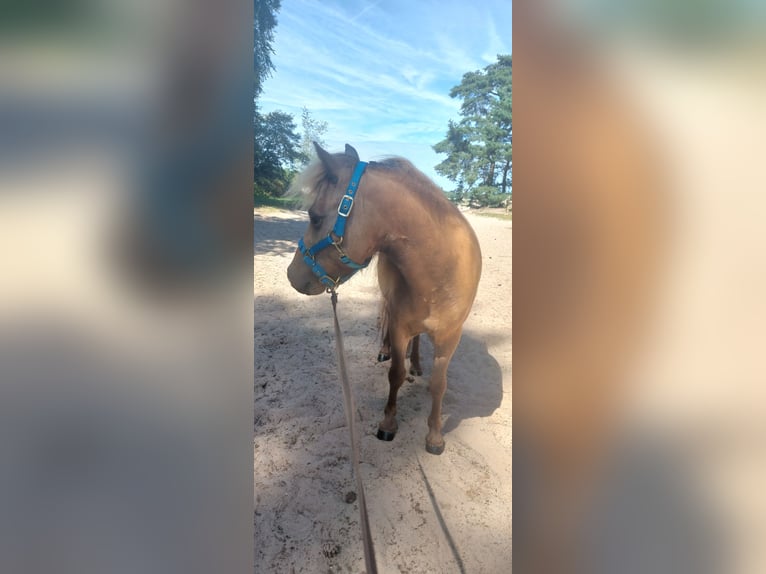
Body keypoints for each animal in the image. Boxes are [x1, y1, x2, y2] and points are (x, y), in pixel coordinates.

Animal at [284, 143, 484, 454]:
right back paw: (385, 350)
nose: (292, 275)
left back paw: (417, 364)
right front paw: (388, 424)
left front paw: (435, 436)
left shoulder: (450, 338)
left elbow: (439, 384)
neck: (441, 271)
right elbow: (396, 374)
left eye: (314, 216)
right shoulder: (400, 327)